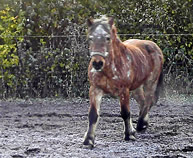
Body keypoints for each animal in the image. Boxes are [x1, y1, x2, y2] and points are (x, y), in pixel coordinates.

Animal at [83, 15, 164, 148]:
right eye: (90, 38)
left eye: (108, 38)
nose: (97, 63)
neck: (109, 69)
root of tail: (154, 45)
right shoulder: (95, 89)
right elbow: (93, 114)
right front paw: (88, 140)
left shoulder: (123, 90)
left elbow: (125, 112)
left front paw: (129, 135)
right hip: (136, 87)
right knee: (142, 102)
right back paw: (141, 125)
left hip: (150, 82)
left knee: (148, 101)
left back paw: (141, 124)